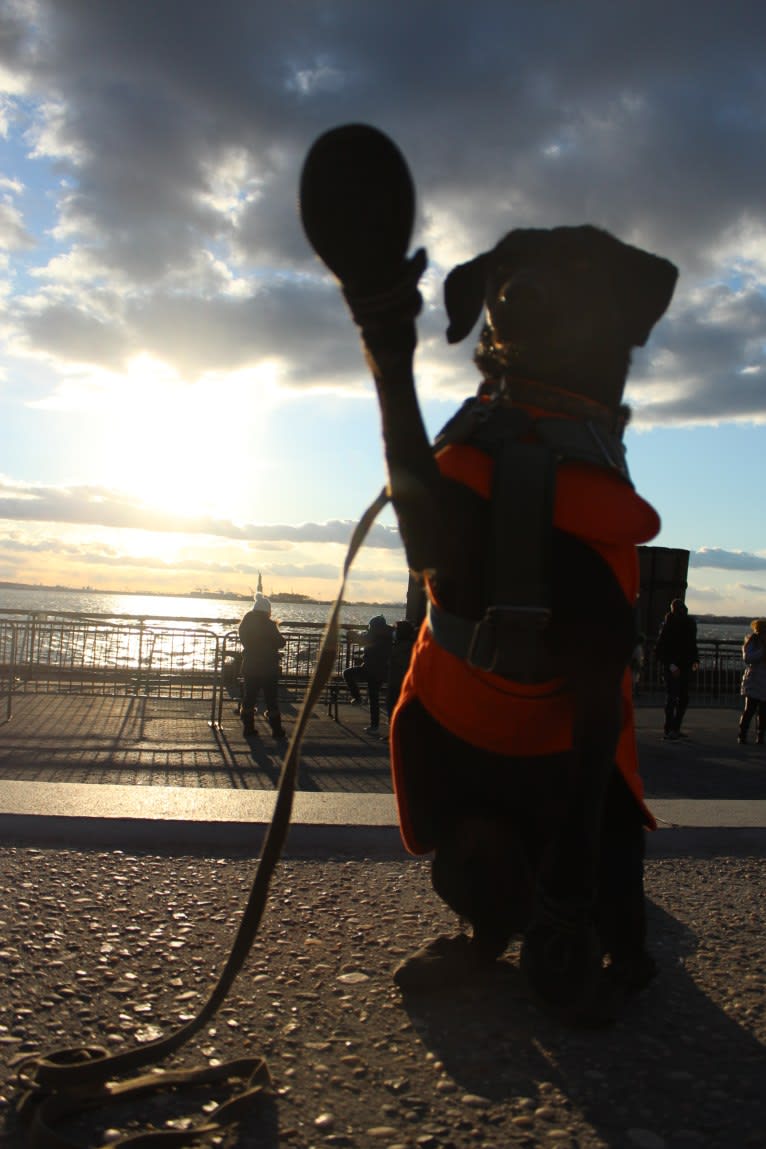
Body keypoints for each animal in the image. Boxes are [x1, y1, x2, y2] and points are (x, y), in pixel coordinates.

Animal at [303, 125, 679, 1024]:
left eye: (585, 265)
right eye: (506, 264)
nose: (519, 297)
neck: (539, 421)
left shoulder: (597, 670)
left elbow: (577, 843)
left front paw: (567, 949)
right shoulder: (446, 539)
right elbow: (405, 438)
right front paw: (380, 303)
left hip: (623, 854)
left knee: (613, 913)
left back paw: (603, 966)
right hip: (466, 841)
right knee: (493, 920)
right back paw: (456, 956)